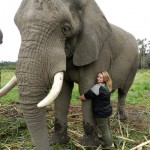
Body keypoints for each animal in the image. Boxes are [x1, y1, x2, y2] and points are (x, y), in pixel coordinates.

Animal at [0, 0, 138, 149]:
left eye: (65, 29)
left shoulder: (99, 51)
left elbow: (87, 88)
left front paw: (88, 145)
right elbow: (63, 93)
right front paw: (58, 141)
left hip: (134, 64)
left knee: (123, 91)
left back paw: (120, 118)